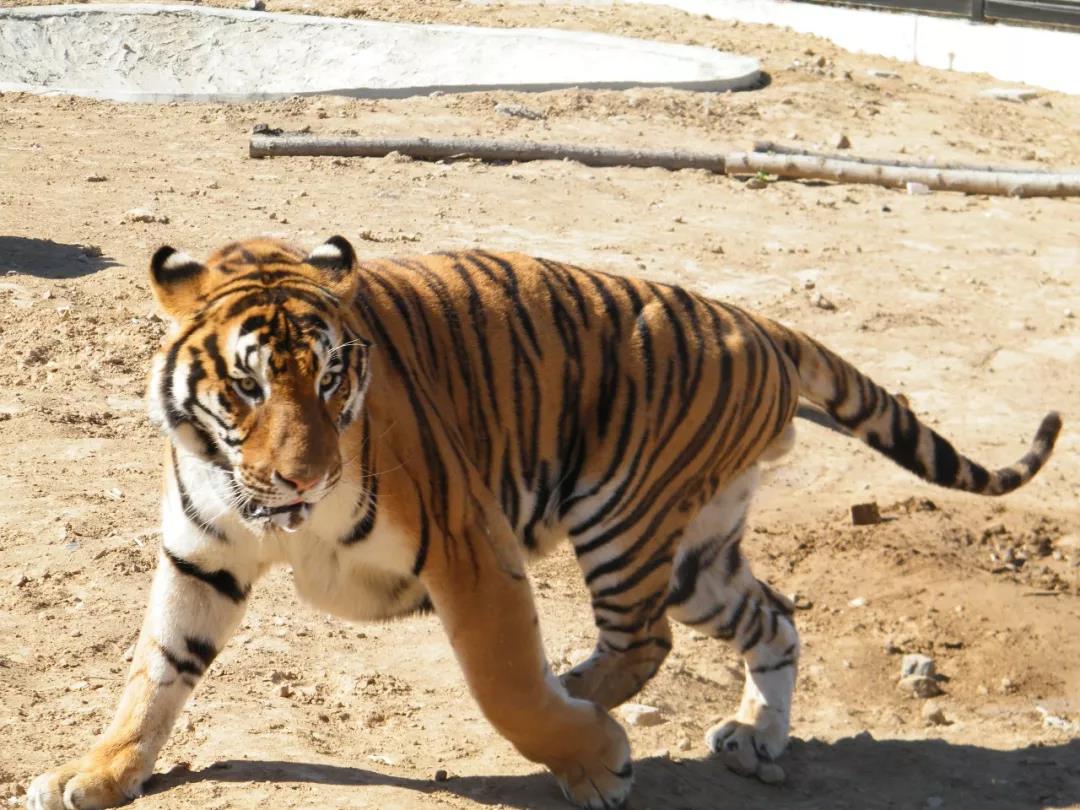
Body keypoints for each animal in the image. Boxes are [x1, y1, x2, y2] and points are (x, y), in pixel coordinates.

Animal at [27, 236, 1062, 810]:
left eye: (330, 379)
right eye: (248, 386)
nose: (304, 476)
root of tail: (759, 321)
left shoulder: (468, 544)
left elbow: (504, 689)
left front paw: (595, 764)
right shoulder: (200, 557)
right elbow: (154, 675)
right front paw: (94, 773)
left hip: (627, 516)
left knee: (642, 643)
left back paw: (589, 703)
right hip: (699, 552)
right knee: (773, 617)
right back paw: (756, 737)